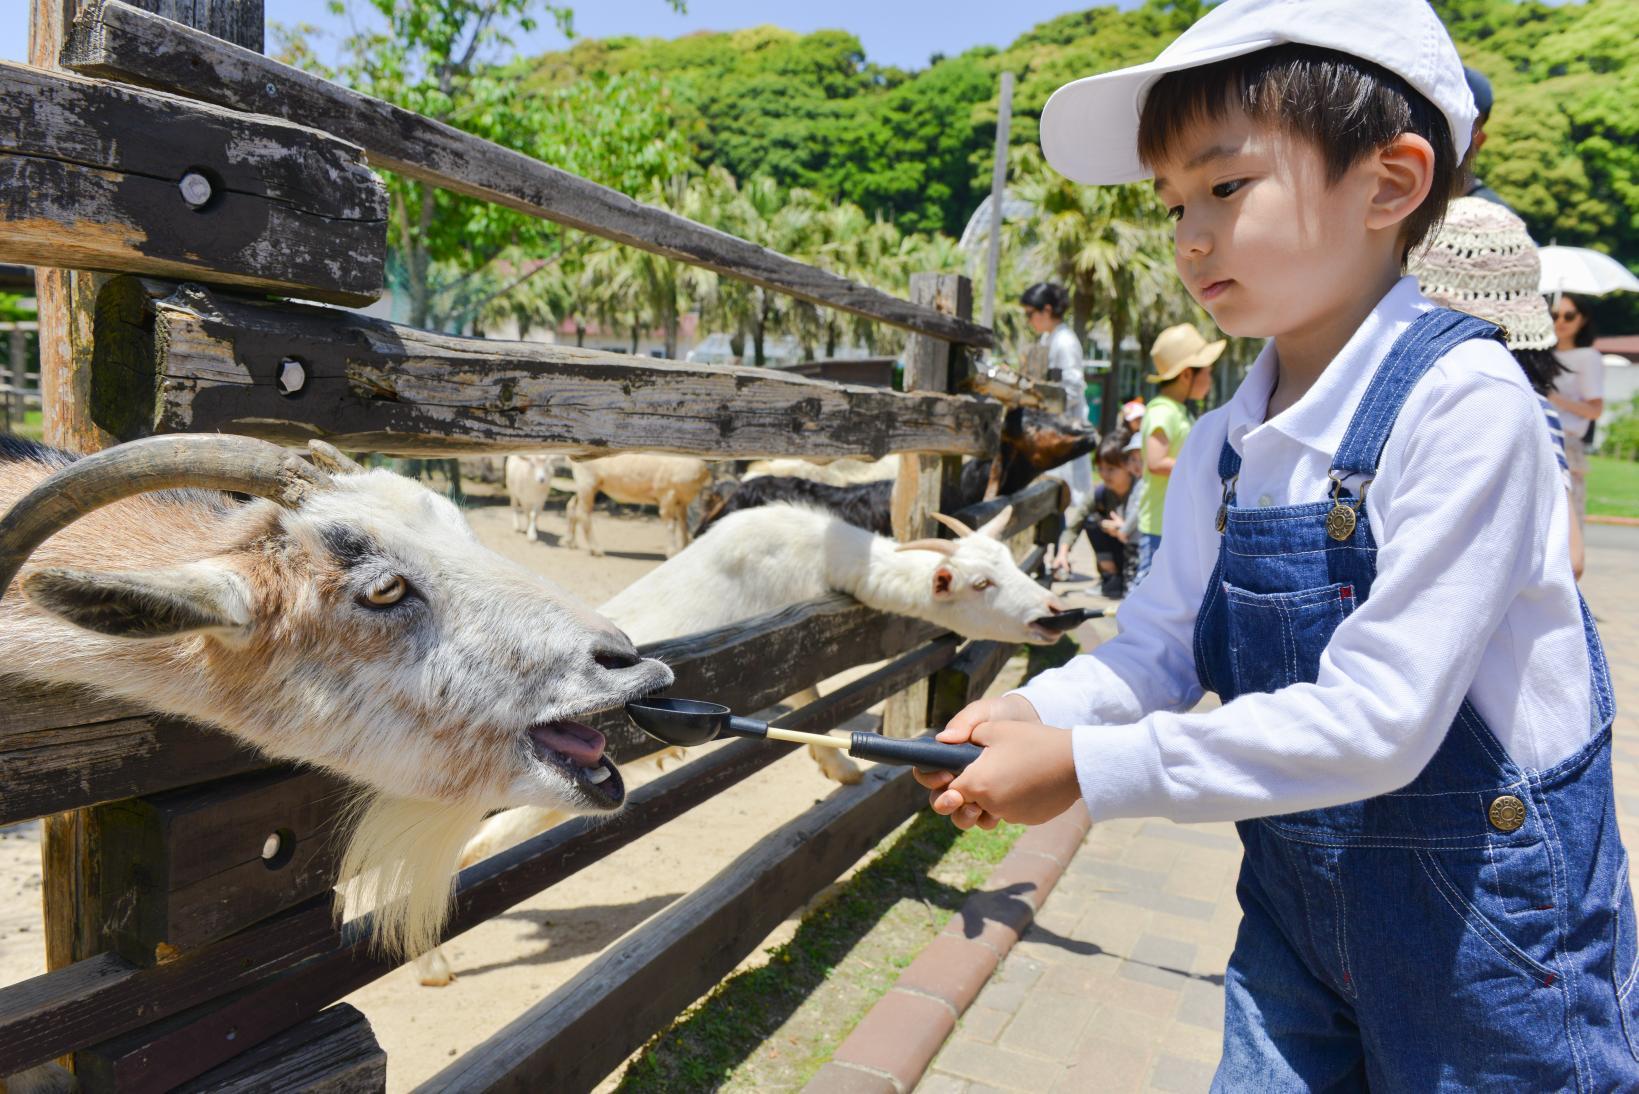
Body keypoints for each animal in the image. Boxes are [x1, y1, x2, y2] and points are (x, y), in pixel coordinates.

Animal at [563, 452, 711, 560]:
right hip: (587, 481)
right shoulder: (667, 493)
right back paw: (596, 549)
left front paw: (684, 549)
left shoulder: (682, 501)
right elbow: (671, 525)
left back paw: (570, 542)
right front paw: (672, 552)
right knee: (583, 513)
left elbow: (683, 525)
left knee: (572, 505)